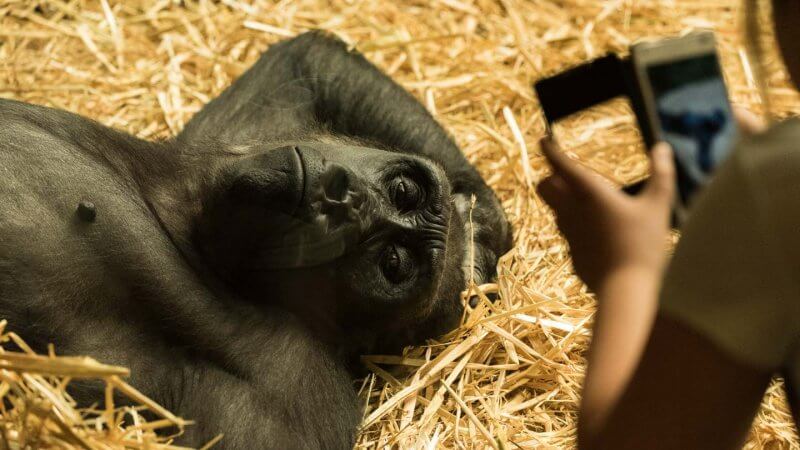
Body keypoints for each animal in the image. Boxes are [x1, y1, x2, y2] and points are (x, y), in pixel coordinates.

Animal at [0, 30, 512, 446]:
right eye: (404, 190)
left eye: (393, 264)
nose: (343, 197)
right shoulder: (253, 136)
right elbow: (310, 59)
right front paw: (480, 227)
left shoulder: (296, 385)